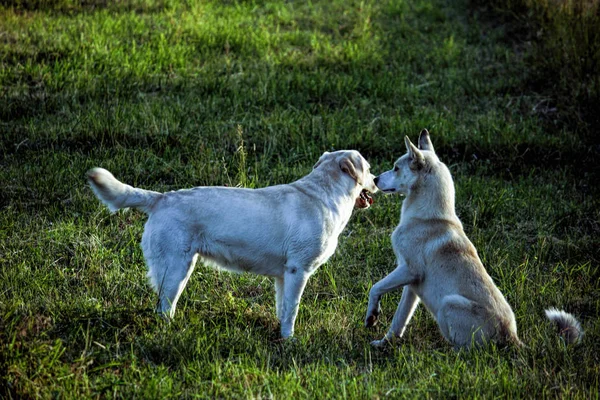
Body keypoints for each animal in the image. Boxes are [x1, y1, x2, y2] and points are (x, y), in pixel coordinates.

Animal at [86, 150, 378, 338]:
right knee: (164, 308)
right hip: (176, 269)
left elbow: (283, 307)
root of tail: (161, 198)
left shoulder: (284, 276)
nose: (376, 181)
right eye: (369, 167)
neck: (324, 193)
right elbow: (292, 311)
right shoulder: (299, 271)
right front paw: (290, 340)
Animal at [366, 132, 580, 350]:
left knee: (467, 350)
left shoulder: (409, 270)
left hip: (449, 303)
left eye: (396, 168)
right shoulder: (411, 285)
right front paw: (384, 343)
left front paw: (371, 316)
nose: (374, 179)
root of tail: (511, 337)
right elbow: (399, 319)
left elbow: (375, 287)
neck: (427, 217)